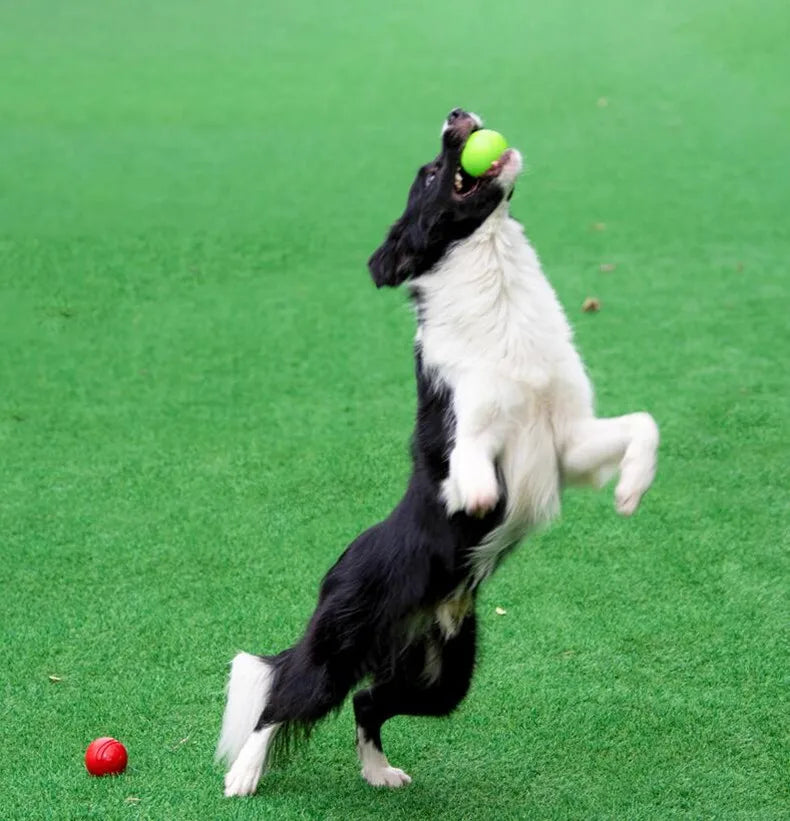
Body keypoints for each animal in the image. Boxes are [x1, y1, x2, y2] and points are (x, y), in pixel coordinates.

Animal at [218, 107, 664, 796]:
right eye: (430, 174)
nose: (457, 114)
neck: (495, 281)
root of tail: (336, 569)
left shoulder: (566, 441)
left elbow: (645, 424)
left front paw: (631, 490)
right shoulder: (471, 420)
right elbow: (468, 458)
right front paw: (476, 494)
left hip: (443, 674)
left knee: (368, 701)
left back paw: (379, 772)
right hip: (341, 643)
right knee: (283, 700)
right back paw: (243, 776)